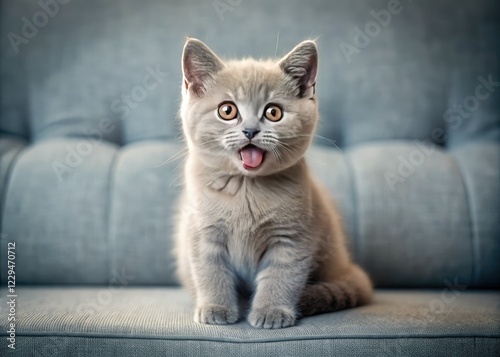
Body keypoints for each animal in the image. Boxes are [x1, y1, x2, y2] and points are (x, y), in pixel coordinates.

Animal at [174, 37, 374, 326]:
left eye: (273, 112)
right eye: (227, 110)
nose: (250, 130)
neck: (247, 187)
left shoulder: (292, 238)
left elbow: (281, 276)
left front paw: (272, 311)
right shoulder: (202, 232)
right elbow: (210, 272)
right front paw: (216, 307)